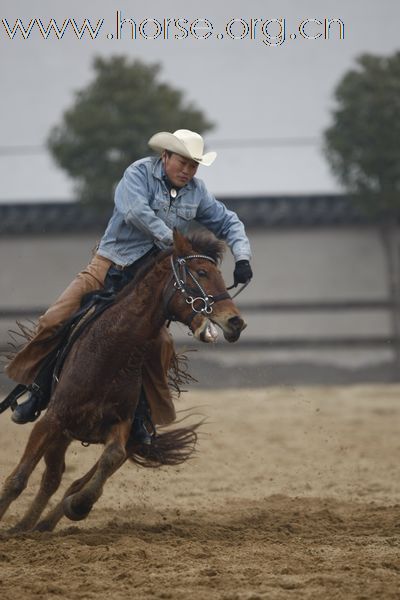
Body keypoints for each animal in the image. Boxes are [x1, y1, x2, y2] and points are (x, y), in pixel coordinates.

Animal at [0, 229, 245, 528]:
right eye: (201, 272)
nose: (235, 322)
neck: (109, 352)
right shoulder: (52, 420)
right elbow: (18, 479)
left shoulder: (122, 425)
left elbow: (108, 460)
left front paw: (78, 506)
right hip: (61, 431)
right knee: (52, 478)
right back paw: (26, 527)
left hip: (122, 437)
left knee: (64, 480)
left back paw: (41, 524)